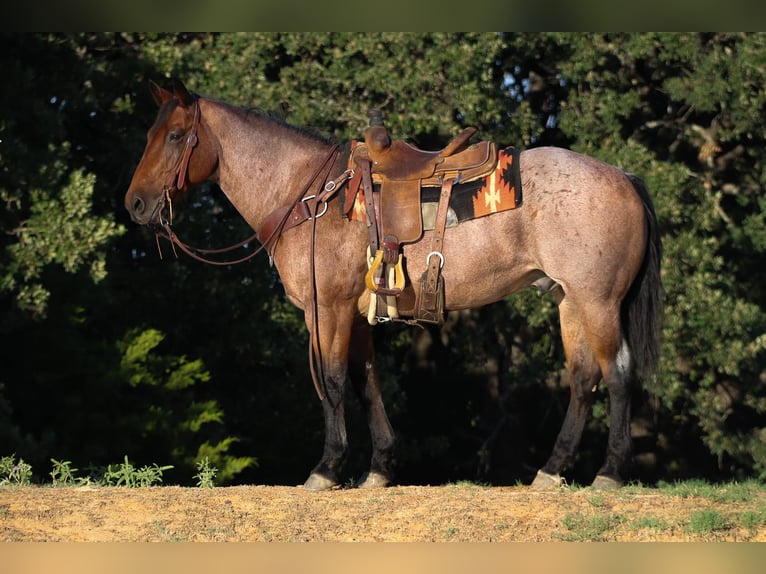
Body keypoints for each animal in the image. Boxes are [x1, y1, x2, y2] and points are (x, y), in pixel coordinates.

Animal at [123, 79, 664, 492]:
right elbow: (367, 383)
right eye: (150, 133)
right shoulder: (357, 312)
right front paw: (379, 469)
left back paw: (609, 474)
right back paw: (551, 472)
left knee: (617, 375)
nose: (136, 204)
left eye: (176, 136)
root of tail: (624, 176)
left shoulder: (327, 308)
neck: (307, 194)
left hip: (598, 302)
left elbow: (333, 380)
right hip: (569, 301)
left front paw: (326, 469)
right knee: (583, 379)